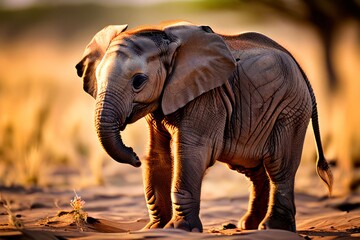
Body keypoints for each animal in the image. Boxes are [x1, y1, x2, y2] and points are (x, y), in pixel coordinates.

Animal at [75, 21, 332, 232]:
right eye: (96, 78)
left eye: (138, 81)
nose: (133, 156)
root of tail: (301, 69)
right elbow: (158, 156)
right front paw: (154, 229)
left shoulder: (207, 96)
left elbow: (190, 152)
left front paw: (179, 229)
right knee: (255, 169)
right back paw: (248, 226)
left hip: (291, 107)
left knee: (278, 165)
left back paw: (272, 228)